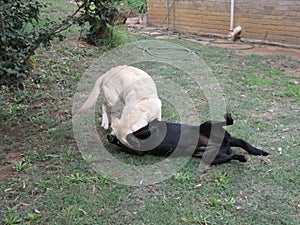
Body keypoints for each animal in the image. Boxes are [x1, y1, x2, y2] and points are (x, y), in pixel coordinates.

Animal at [108, 113, 270, 164]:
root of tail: (226, 143)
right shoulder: (140, 152)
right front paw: (113, 139)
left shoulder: (153, 128)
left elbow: (131, 135)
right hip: (211, 158)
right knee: (232, 156)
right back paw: (241, 158)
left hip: (207, 124)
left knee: (229, 125)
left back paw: (229, 118)